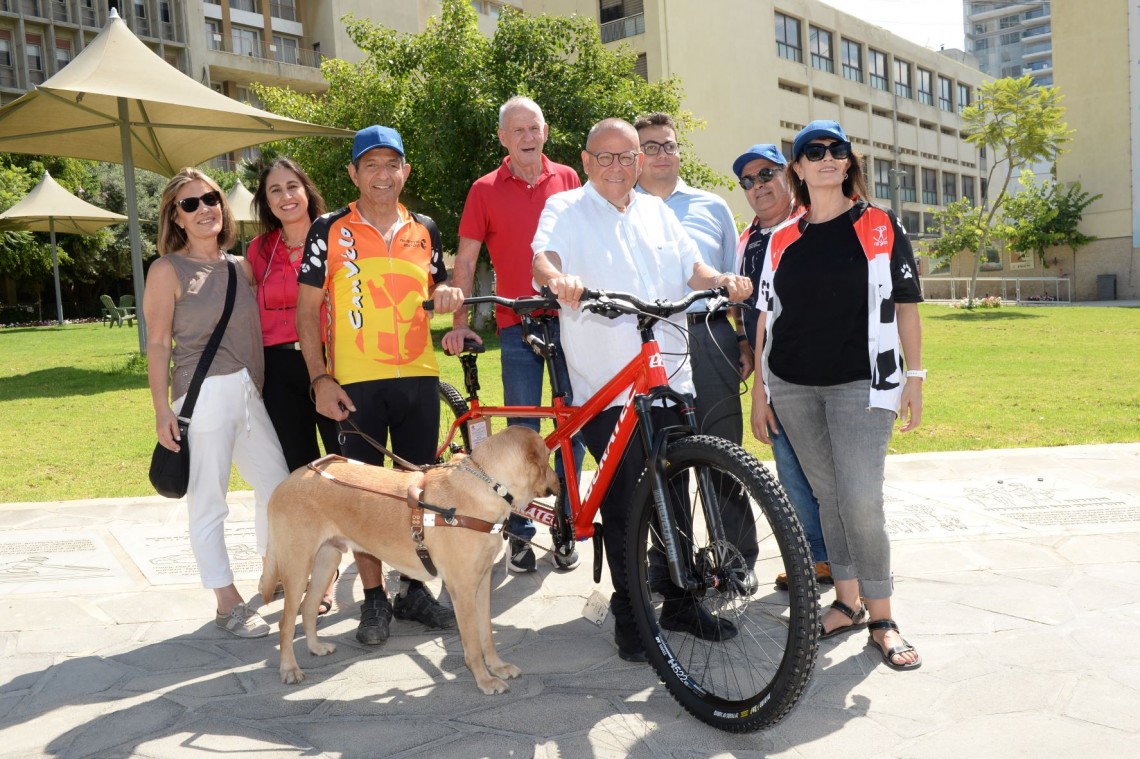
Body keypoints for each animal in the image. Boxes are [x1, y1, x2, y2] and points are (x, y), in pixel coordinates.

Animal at [259, 426, 560, 692]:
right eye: (547, 455)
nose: (559, 482)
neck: (488, 486)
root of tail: (288, 480)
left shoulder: (483, 581)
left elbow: (486, 633)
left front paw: (497, 667)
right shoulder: (461, 588)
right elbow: (473, 643)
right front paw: (485, 680)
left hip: (326, 561)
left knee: (308, 608)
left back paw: (316, 647)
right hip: (297, 567)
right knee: (286, 623)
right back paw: (289, 669)